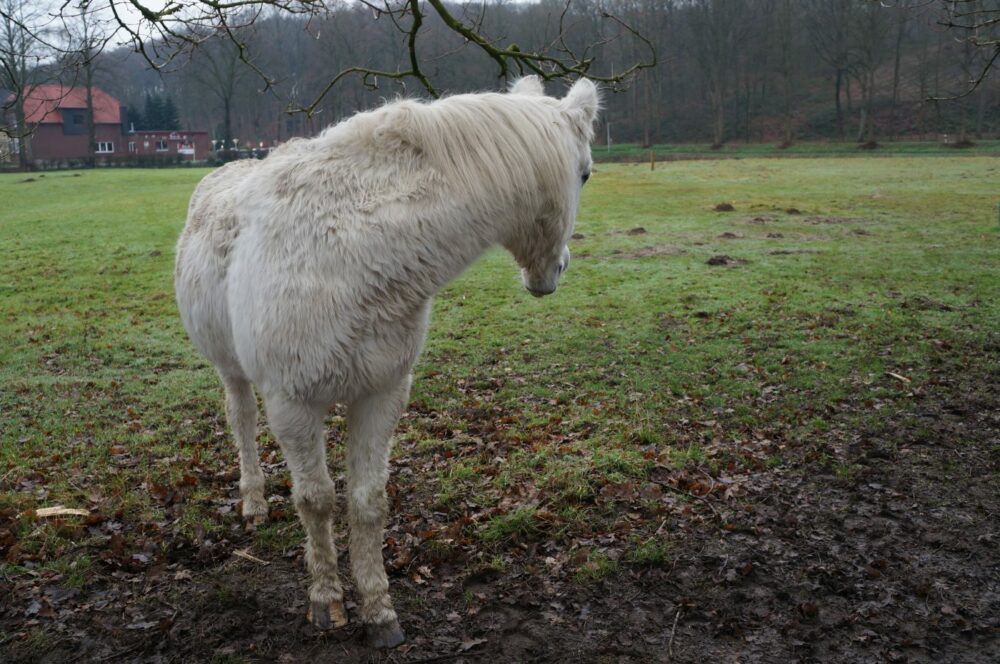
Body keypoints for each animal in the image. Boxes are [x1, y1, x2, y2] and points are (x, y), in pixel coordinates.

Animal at [175, 76, 596, 648]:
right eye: (585, 174)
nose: (559, 270)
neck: (353, 250)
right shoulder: (292, 403)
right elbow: (316, 500)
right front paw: (326, 601)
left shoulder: (383, 393)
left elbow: (368, 501)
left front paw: (379, 611)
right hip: (234, 371)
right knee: (241, 420)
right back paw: (254, 504)